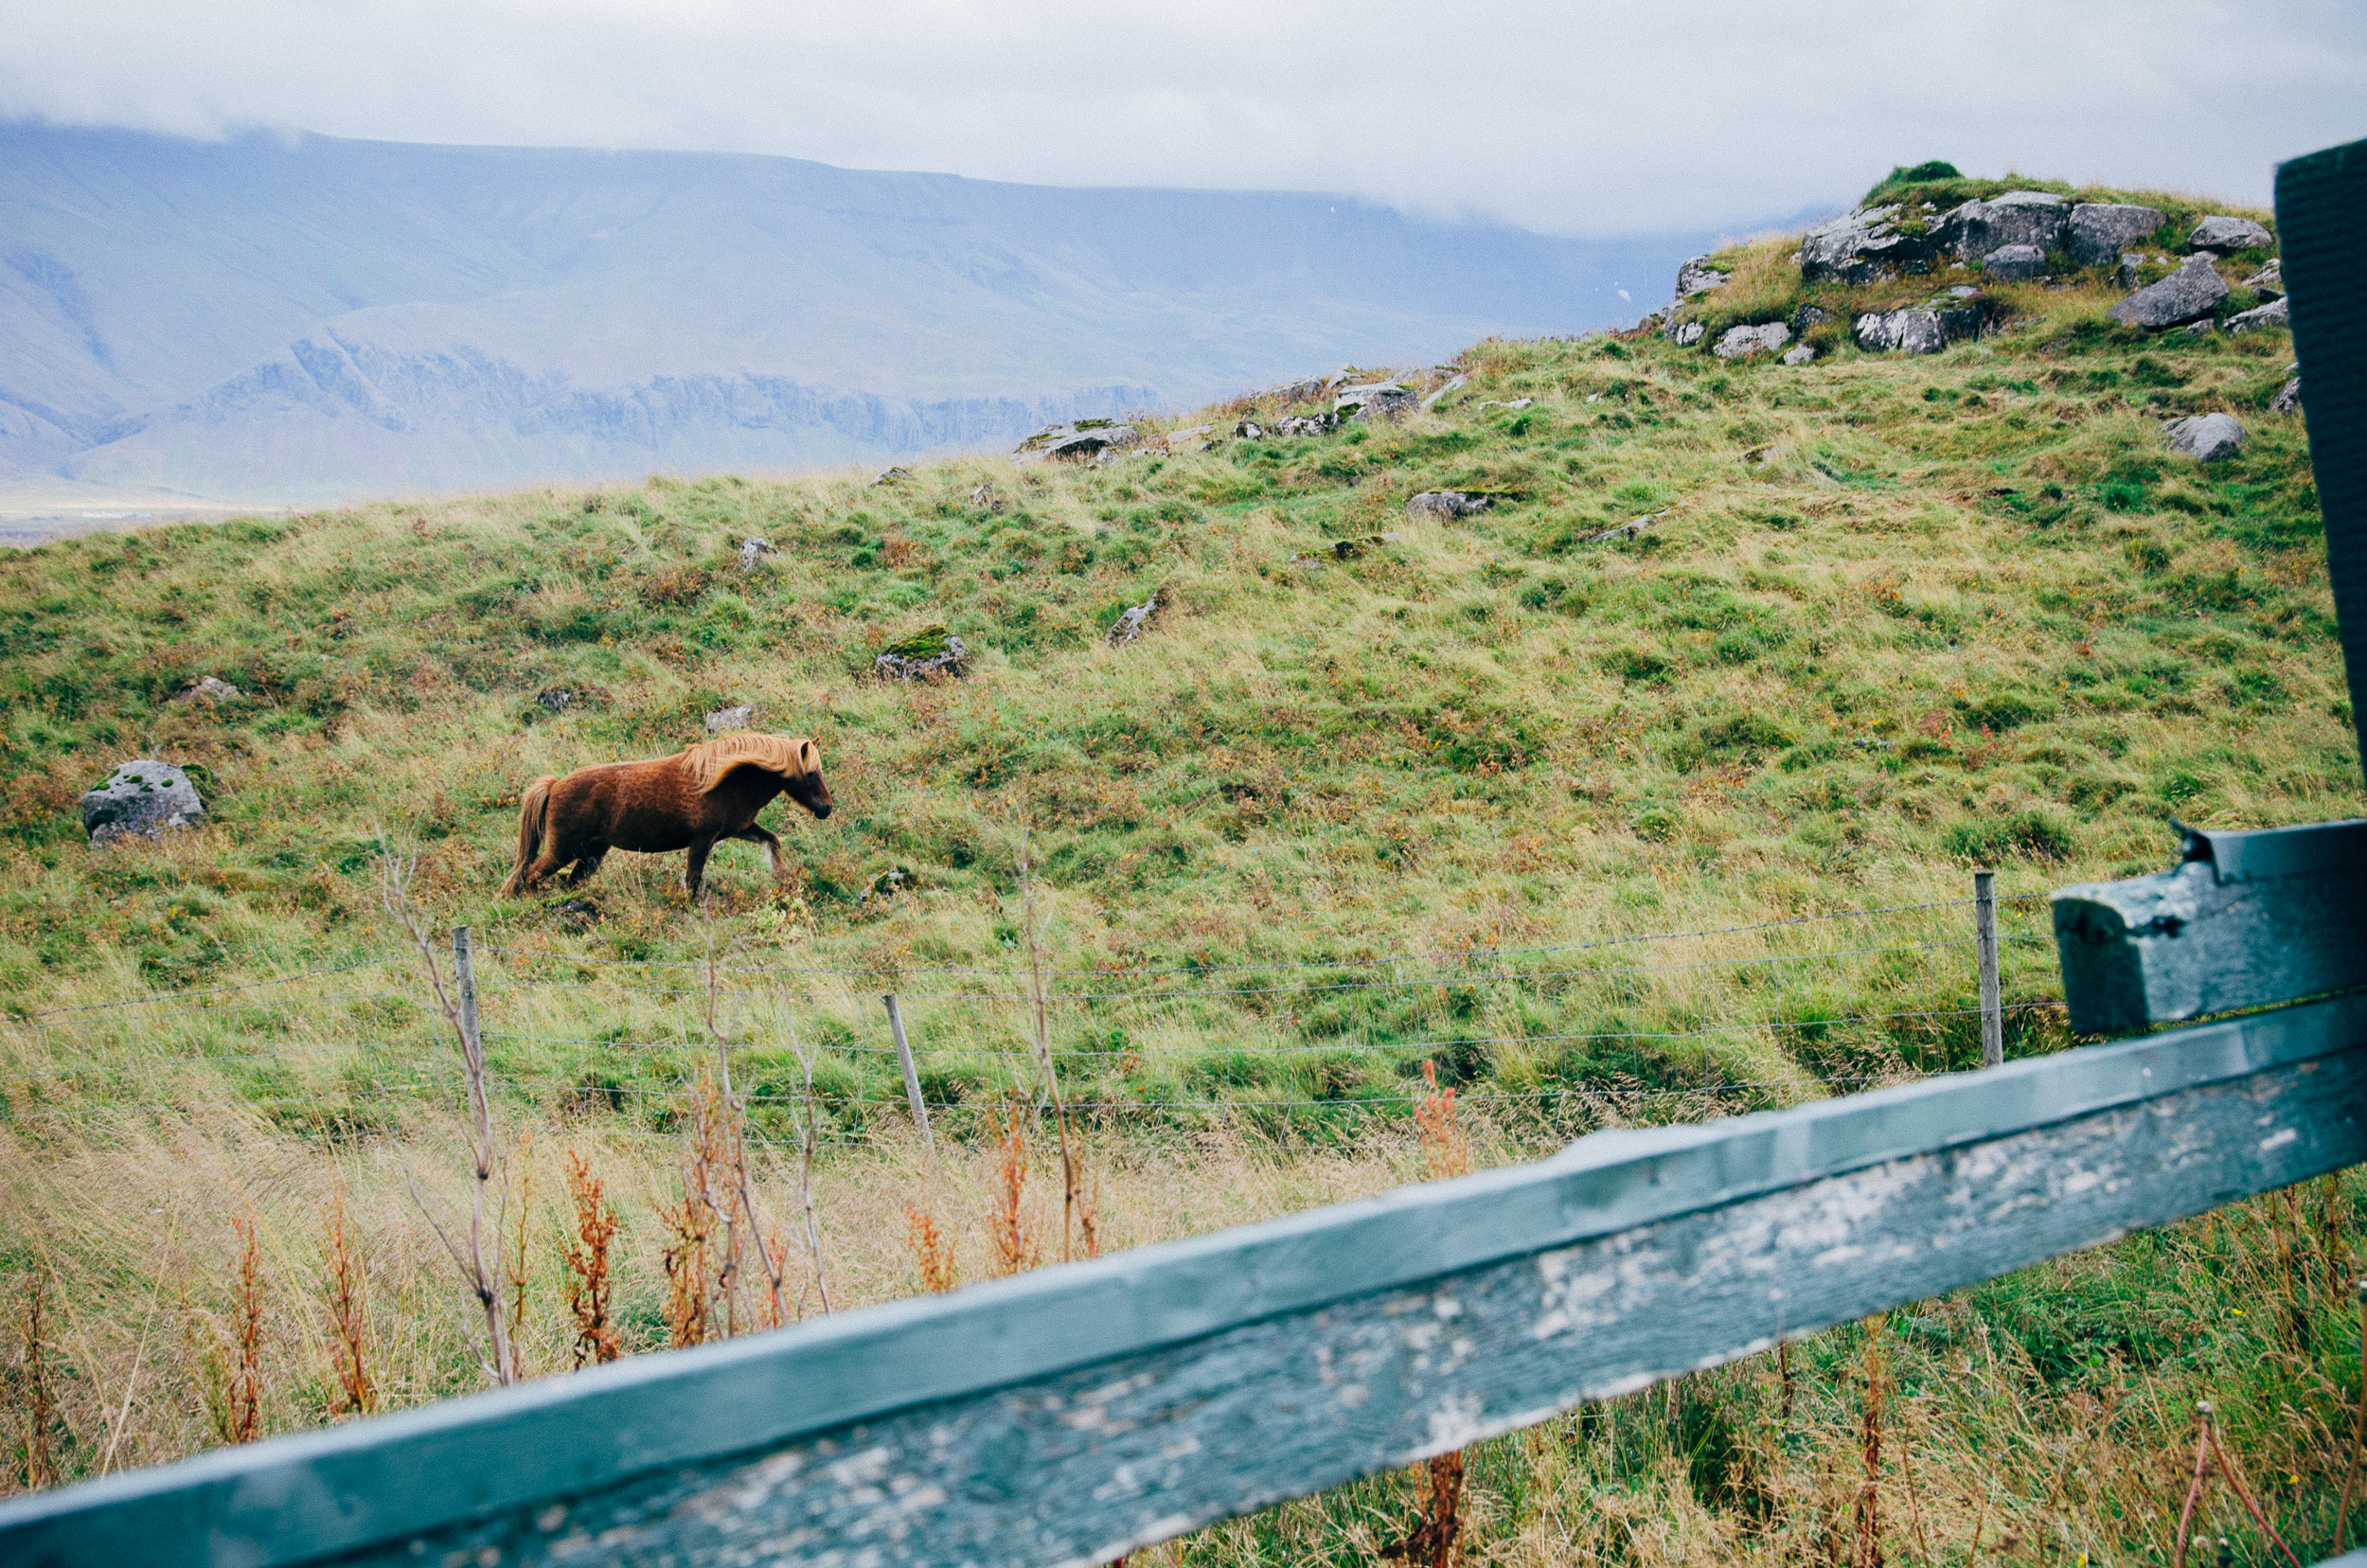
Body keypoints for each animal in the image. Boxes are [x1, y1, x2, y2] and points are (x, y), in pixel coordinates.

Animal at [497, 734, 833, 904]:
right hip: (564, 850)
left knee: (572, 881)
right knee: (532, 873)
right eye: (811, 773)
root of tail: (554, 786)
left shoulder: (738, 829)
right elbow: (693, 879)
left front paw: (782, 876)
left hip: (593, 852)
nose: (826, 808)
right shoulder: (702, 840)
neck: (725, 780)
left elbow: (771, 841)